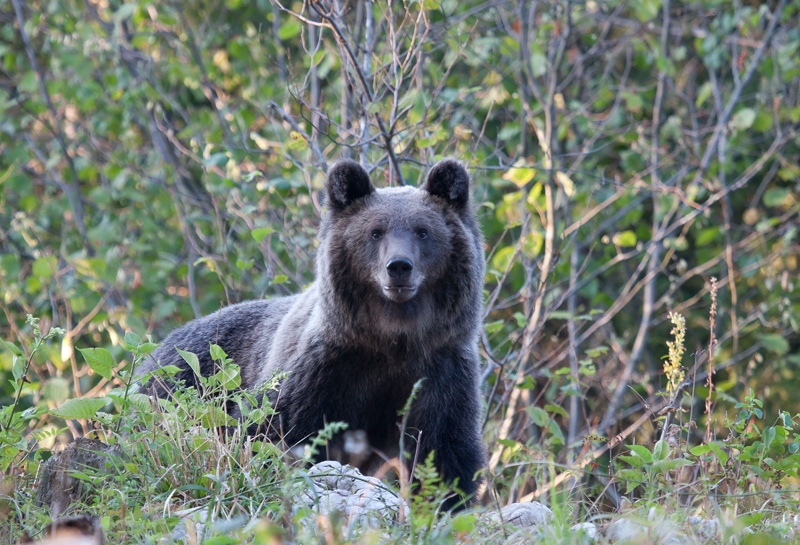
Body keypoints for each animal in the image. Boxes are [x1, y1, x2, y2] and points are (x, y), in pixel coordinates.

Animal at [137, 157, 484, 506]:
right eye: (375, 232)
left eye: (423, 231)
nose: (399, 266)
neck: (393, 339)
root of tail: (154, 352)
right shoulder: (322, 370)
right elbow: (270, 429)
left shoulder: (440, 374)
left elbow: (444, 452)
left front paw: (446, 499)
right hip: (181, 381)